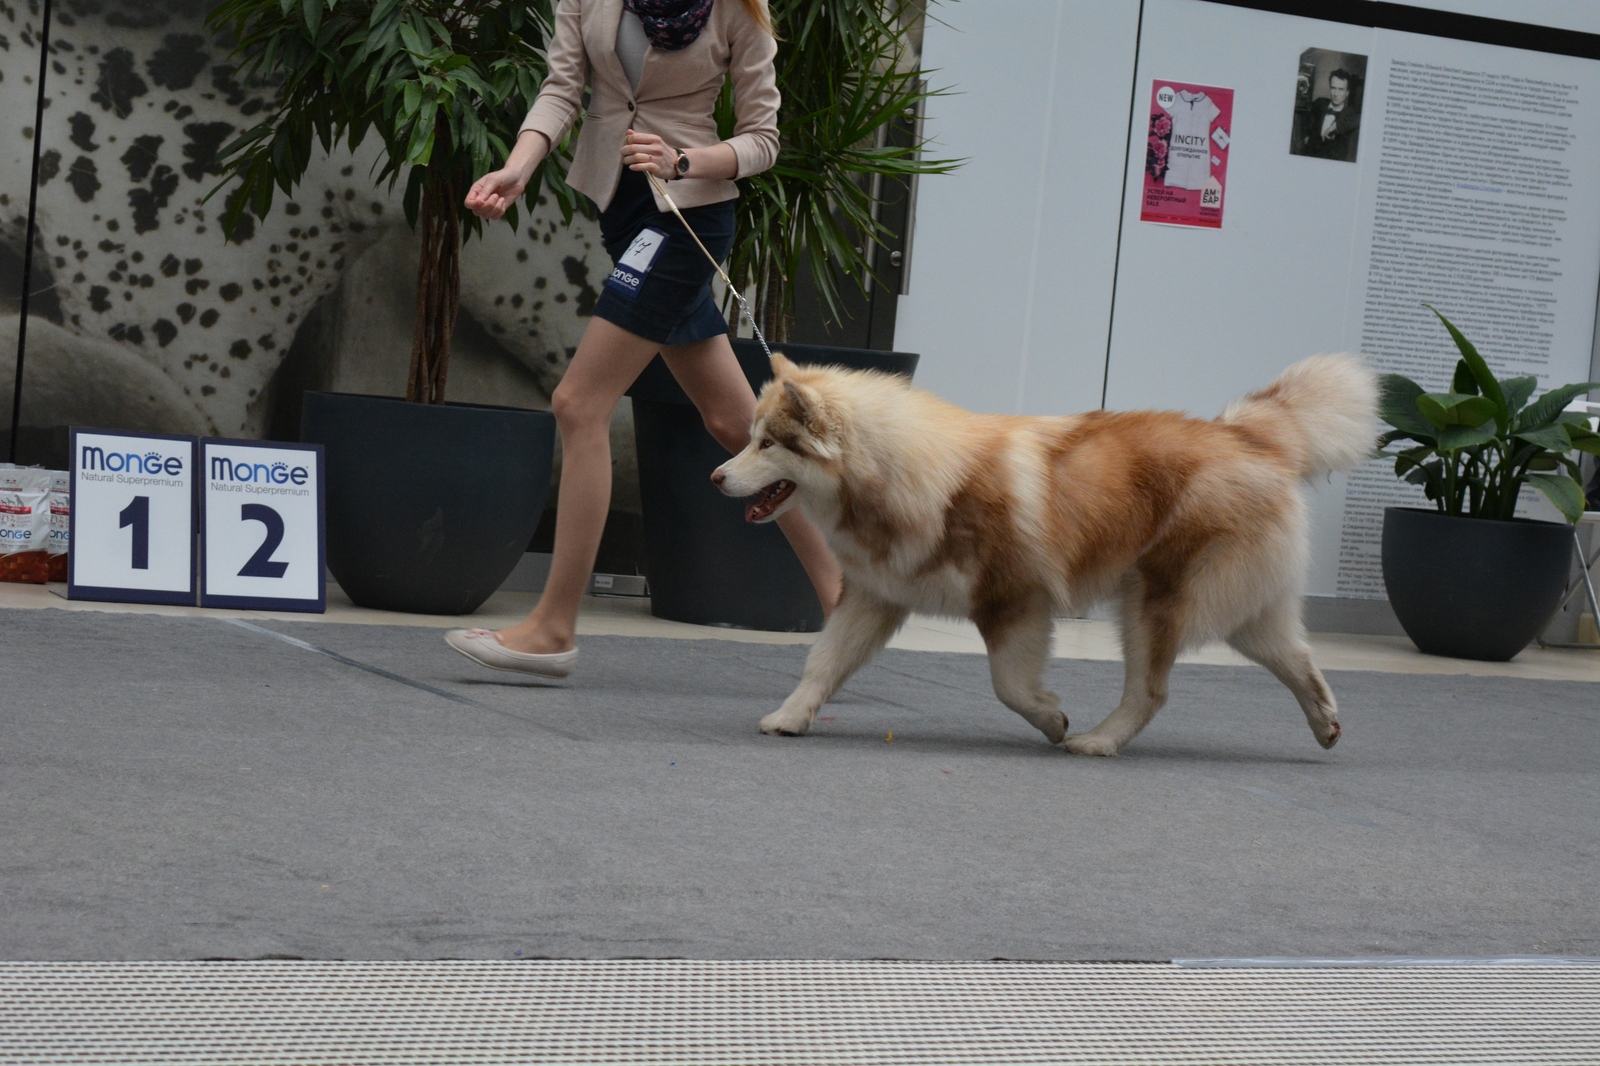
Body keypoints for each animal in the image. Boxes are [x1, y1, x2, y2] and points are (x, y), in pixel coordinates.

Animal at [713, 352, 1376, 752]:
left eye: (768, 444)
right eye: (749, 437)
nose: (717, 477)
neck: (907, 474)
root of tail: (1247, 433)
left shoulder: (1013, 601)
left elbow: (1008, 684)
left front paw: (1052, 718)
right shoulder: (874, 595)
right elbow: (822, 663)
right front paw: (791, 716)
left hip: (1154, 605)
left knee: (1151, 690)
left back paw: (1099, 741)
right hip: (1243, 611)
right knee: (1299, 660)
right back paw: (1326, 722)